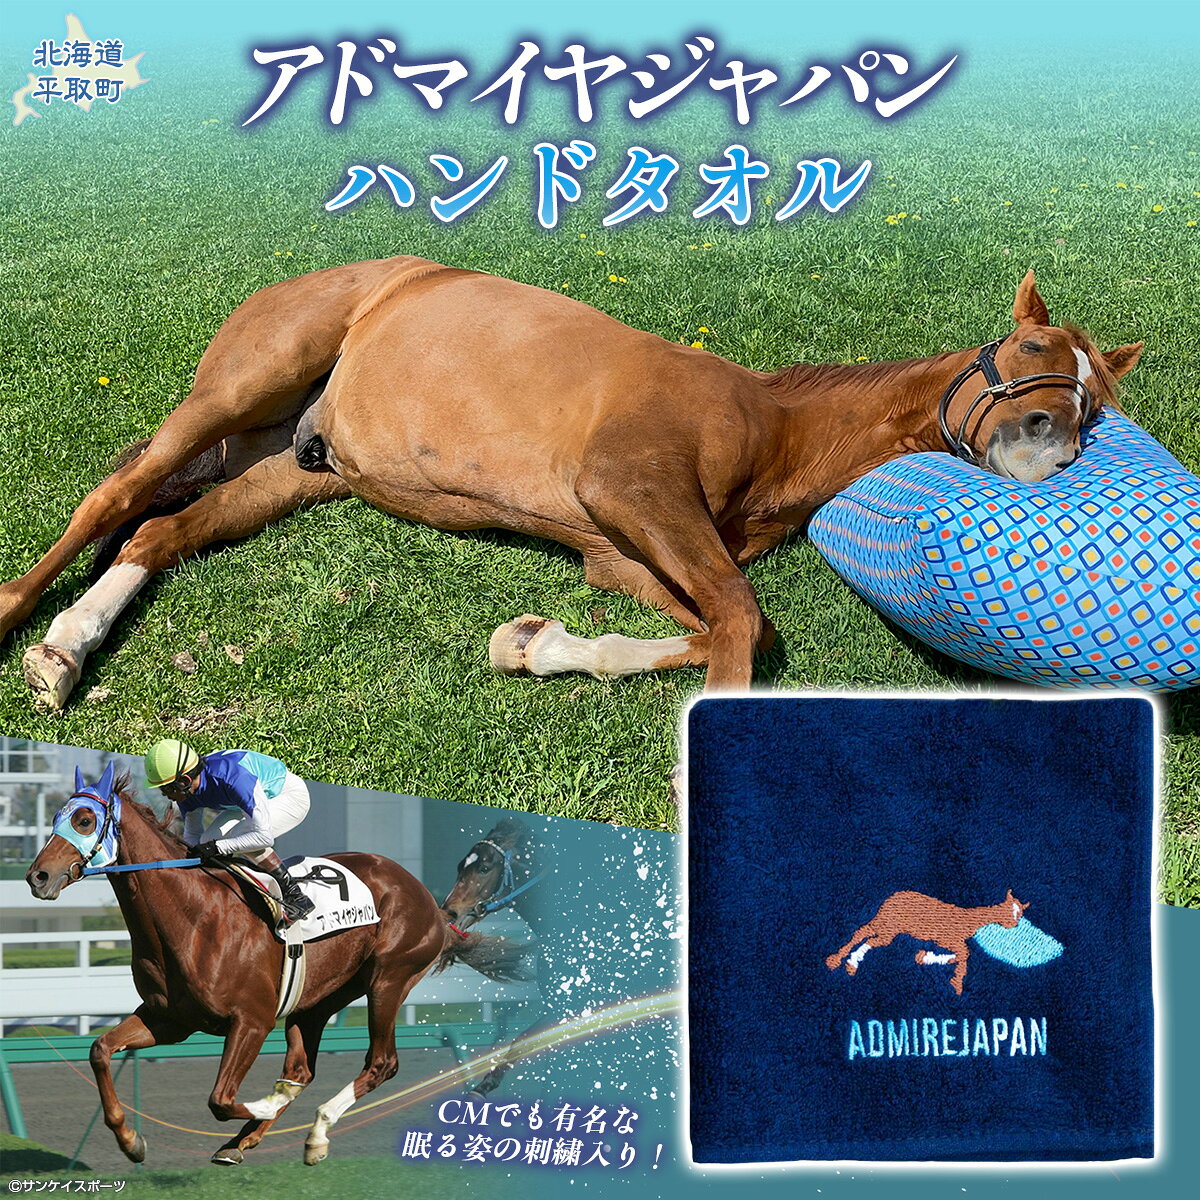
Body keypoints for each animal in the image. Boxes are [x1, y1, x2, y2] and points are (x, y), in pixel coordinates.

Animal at [0, 262, 1142, 709]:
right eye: (1029, 350)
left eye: (1095, 404)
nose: (1046, 451)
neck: (770, 426)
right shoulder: (631, 491)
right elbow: (738, 625)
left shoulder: (623, 551)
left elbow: (716, 627)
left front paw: (534, 644)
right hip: (240, 390)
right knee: (113, 501)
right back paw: (24, 622)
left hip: (294, 469)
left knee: (162, 532)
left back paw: (66, 651)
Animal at [24, 763, 517, 1167]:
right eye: (54, 817)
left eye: (84, 820)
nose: (37, 877)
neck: (194, 917)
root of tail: (432, 904)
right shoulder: (170, 1019)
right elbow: (99, 1050)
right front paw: (131, 1141)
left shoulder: (252, 1020)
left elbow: (221, 1098)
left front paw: (262, 1104)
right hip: (318, 998)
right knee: (300, 1070)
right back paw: (245, 1139)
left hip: (389, 978)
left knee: (381, 1063)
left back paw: (313, 1133)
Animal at [825, 888, 1030, 995]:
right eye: (1008, 909)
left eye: (1019, 914)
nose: (1014, 924)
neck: (967, 920)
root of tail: (892, 897)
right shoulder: (948, 938)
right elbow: (964, 955)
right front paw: (957, 983)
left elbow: (961, 955)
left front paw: (925, 957)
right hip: (889, 926)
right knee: (867, 938)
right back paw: (850, 962)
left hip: (884, 923)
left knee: (862, 932)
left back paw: (838, 961)